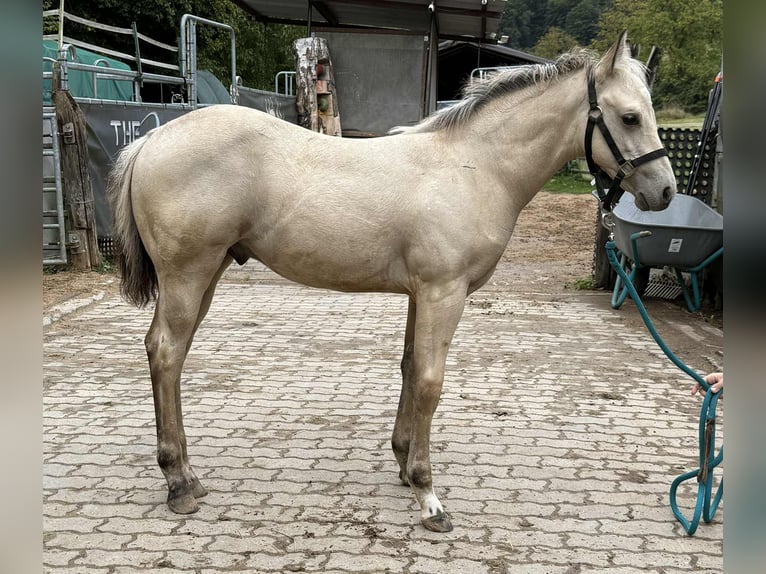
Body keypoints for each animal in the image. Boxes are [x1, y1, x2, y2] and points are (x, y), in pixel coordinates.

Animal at [108, 32, 676, 533]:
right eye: (630, 116)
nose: (665, 192)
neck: (474, 166)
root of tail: (152, 138)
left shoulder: (420, 294)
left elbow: (408, 369)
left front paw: (404, 465)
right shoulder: (445, 293)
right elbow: (429, 381)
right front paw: (428, 495)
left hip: (208, 273)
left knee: (166, 353)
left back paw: (188, 476)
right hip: (189, 274)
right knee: (167, 353)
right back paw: (178, 483)